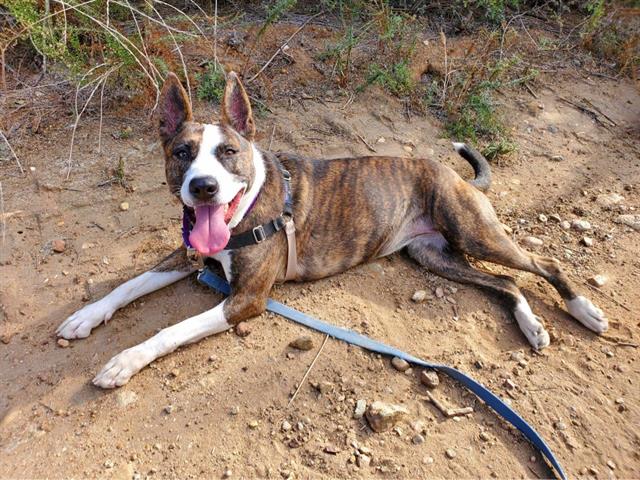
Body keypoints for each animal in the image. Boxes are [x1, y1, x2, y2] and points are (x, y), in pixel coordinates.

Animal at [57, 71, 608, 388]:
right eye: (181, 153)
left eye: (228, 152)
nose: (204, 187)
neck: (244, 209)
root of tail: (450, 173)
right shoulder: (189, 254)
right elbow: (128, 285)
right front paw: (85, 317)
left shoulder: (246, 300)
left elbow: (169, 330)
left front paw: (124, 361)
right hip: (435, 256)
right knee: (508, 282)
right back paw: (532, 325)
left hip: (473, 233)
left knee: (543, 264)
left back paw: (583, 309)